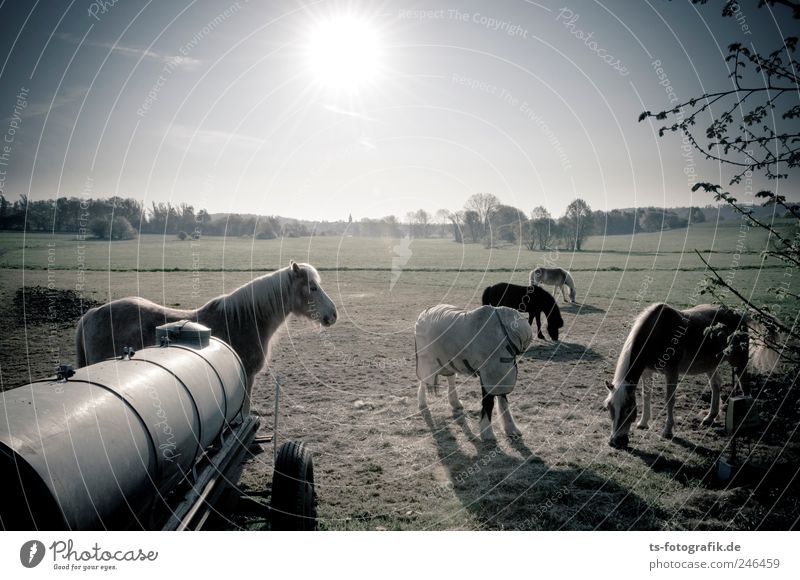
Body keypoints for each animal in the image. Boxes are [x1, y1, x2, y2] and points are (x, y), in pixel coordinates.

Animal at [416, 304, 536, 440]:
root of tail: (425, 312)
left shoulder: (501, 372)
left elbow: (502, 400)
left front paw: (511, 429)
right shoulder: (489, 372)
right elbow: (489, 402)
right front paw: (487, 433)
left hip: (449, 360)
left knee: (450, 378)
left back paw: (455, 403)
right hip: (427, 359)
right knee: (423, 380)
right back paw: (422, 404)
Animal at [604, 302, 780, 450]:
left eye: (628, 409)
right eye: (610, 408)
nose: (615, 442)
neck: (657, 333)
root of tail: (740, 315)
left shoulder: (671, 372)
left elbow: (669, 399)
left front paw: (667, 430)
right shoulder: (647, 371)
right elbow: (646, 395)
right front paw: (643, 423)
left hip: (738, 361)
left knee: (745, 386)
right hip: (711, 364)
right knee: (716, 385)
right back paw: (710, 417)